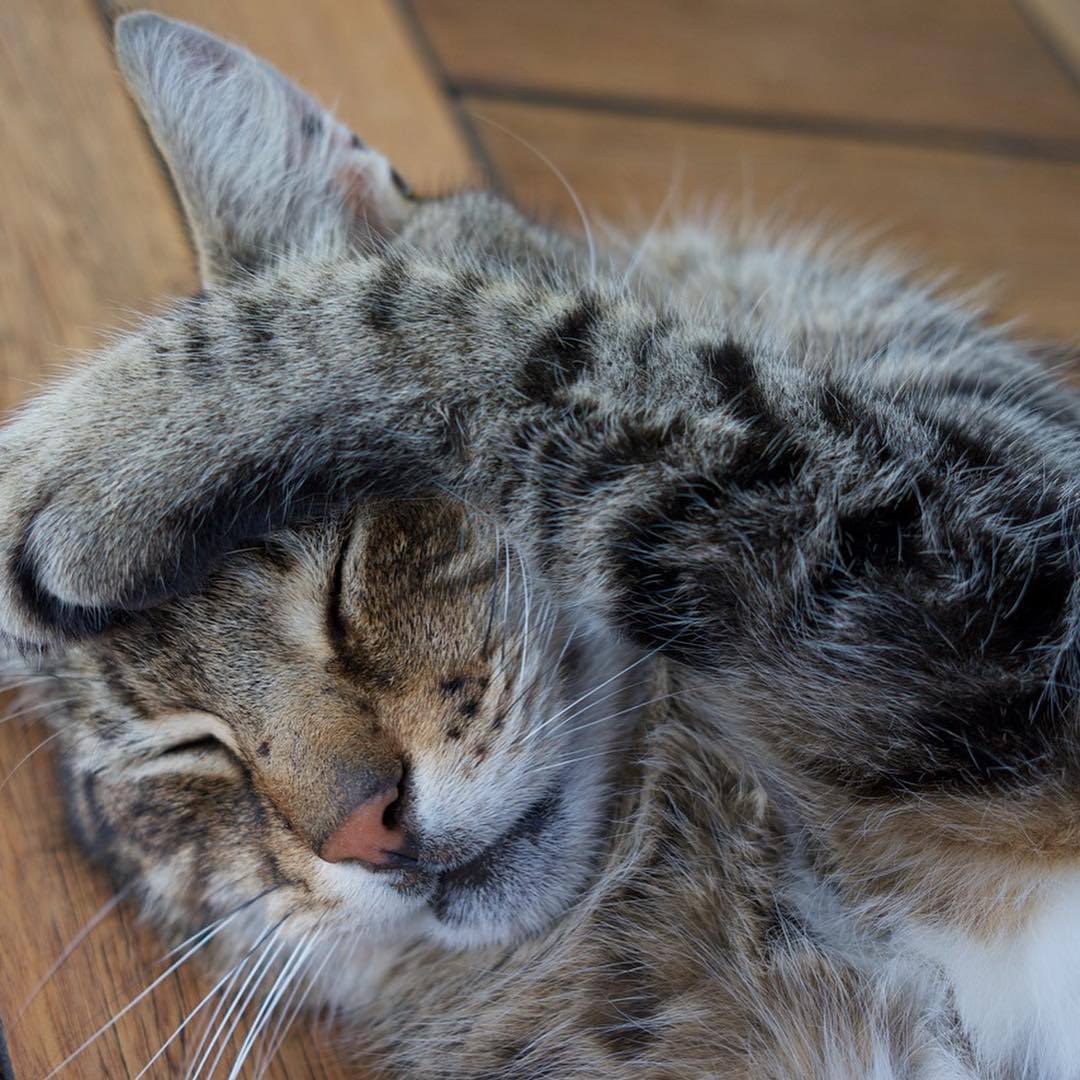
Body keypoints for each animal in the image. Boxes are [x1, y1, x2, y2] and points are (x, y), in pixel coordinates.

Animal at [2, 10, 1080, 1080]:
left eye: (345, 564)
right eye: (185, 747)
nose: (364, 831)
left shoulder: (1004, 536)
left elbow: (458, 324)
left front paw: (93, 442)